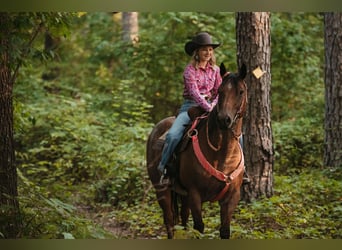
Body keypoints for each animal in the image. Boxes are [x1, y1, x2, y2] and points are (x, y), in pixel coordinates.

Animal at [146, 63, 247, 239]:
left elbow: (224, 231)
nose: (224, 119)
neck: (222, 154)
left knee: (184, 219)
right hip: (162, 190)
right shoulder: (195, 194)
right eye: (220, 91)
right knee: (169, 220)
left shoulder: (232, 197)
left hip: (183, 194)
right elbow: (199, 227)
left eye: (240, 91)